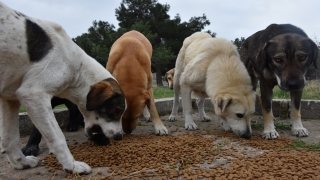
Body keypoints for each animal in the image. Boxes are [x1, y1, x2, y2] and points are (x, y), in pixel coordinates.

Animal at [0, 1, 125, 174]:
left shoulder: (9, 100)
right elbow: (57, 137)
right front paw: (72, 166)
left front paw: (21, 162)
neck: (77, 68)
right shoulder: (34, 95)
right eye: (116, 111)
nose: (120, 137)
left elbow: (10, 138)